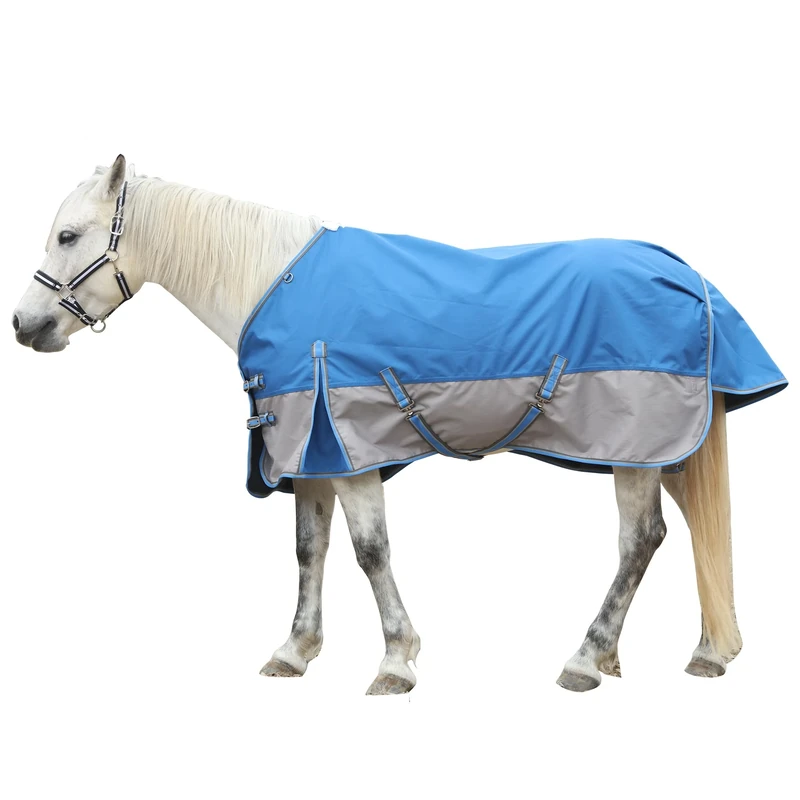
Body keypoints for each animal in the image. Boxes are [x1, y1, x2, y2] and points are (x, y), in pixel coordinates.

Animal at [12, 154, 787, 694]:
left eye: (69, 235)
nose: (24, 325)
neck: (272, 282)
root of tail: (688, 275)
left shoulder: (348, 451)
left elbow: (370, 552)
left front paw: (395, 662)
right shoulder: (311, 454)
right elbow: (310, 552)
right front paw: (294, 652)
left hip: (636, 449)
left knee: (639, 541)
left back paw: (587, 659)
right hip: (667, 447)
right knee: (686, 532)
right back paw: (703, 651)